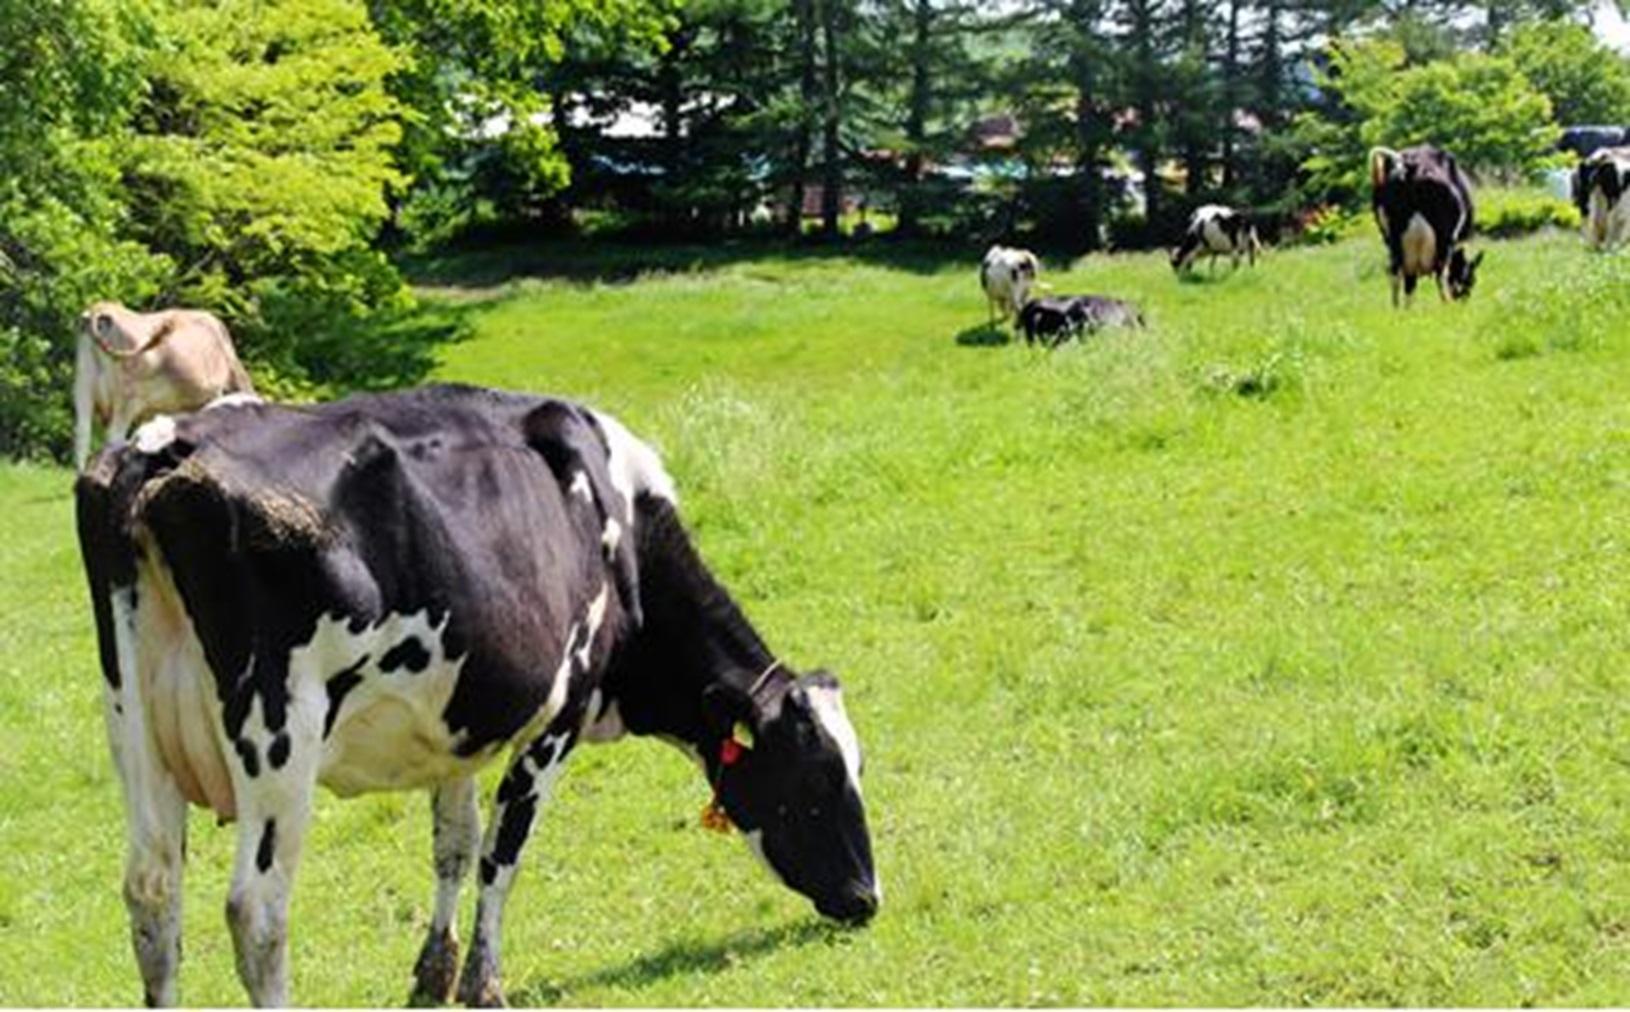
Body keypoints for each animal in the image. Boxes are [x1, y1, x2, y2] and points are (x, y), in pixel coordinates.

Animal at [73, 382, 880, 1003]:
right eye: (814, 776)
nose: (867, 898)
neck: (620, 527)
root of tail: (164, 447)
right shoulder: (557, 717)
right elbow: (502, 853)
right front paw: (483, 983)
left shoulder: (456, 726)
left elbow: (454, 846)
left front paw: (434, 971)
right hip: (279, 736)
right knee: (257, 912)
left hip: (133, 727)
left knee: (153, 893)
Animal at [1369, 144, 1486, 306]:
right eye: (1470, 280)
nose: (1463, 300)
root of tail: (1410, 168)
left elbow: (1410, 283)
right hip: (1444, 237)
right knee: (1441, 273)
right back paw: (1445, 304)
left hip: (1392, 239)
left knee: (1395, 274)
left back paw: (1397, 308)